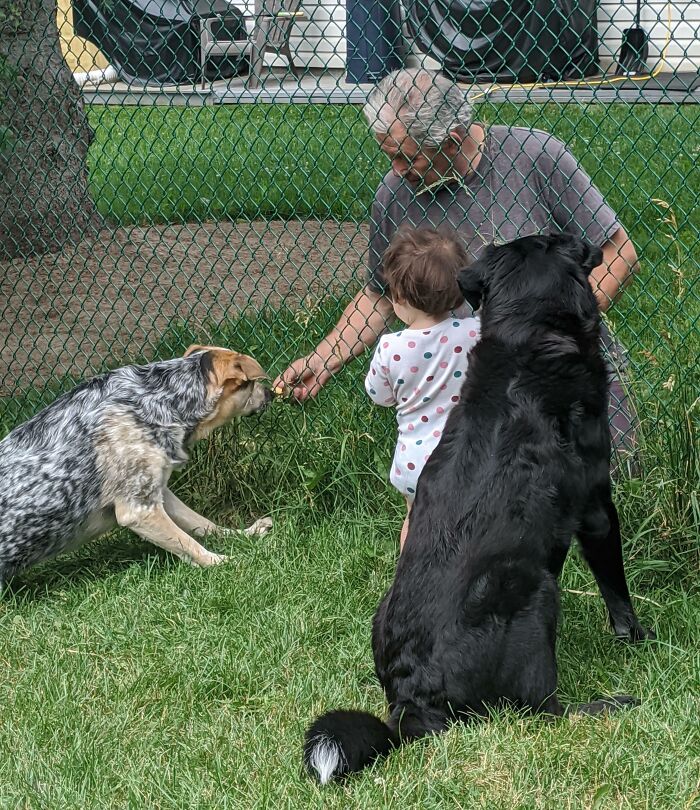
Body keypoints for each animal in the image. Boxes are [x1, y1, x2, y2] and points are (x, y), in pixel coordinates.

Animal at [304, 230, 652, 780]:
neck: (526, 341)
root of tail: (411, 700)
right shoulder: (597, 508)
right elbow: (617, 592)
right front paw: (638, 640)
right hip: (535, 591)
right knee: (541, 709)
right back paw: (607, 705)